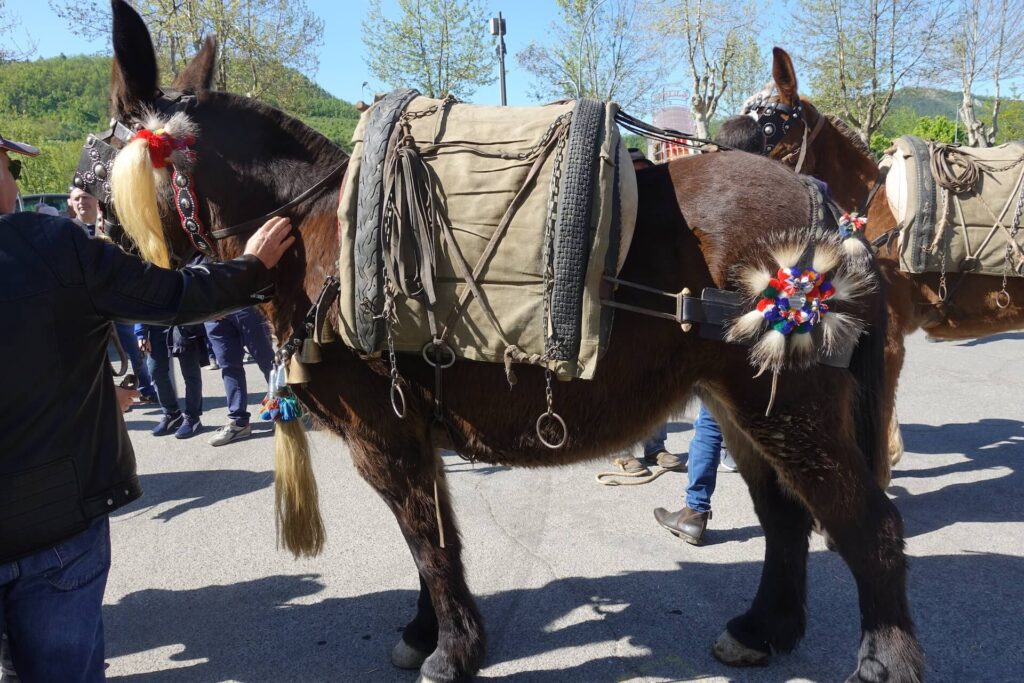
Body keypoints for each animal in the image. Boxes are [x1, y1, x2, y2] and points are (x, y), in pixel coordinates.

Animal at [97, 3, 922, 681]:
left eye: (99, 160)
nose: (97, 235)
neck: (321, 233)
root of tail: (828, 214)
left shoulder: (381, 433)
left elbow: (426, 539)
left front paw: (452, 649)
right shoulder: (410, 433)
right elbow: (430, 535)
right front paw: (428, 631)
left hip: (790, 410)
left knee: (868, 524)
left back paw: (882, 658)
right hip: (746, 405)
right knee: (786, 516)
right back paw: (762, 628)